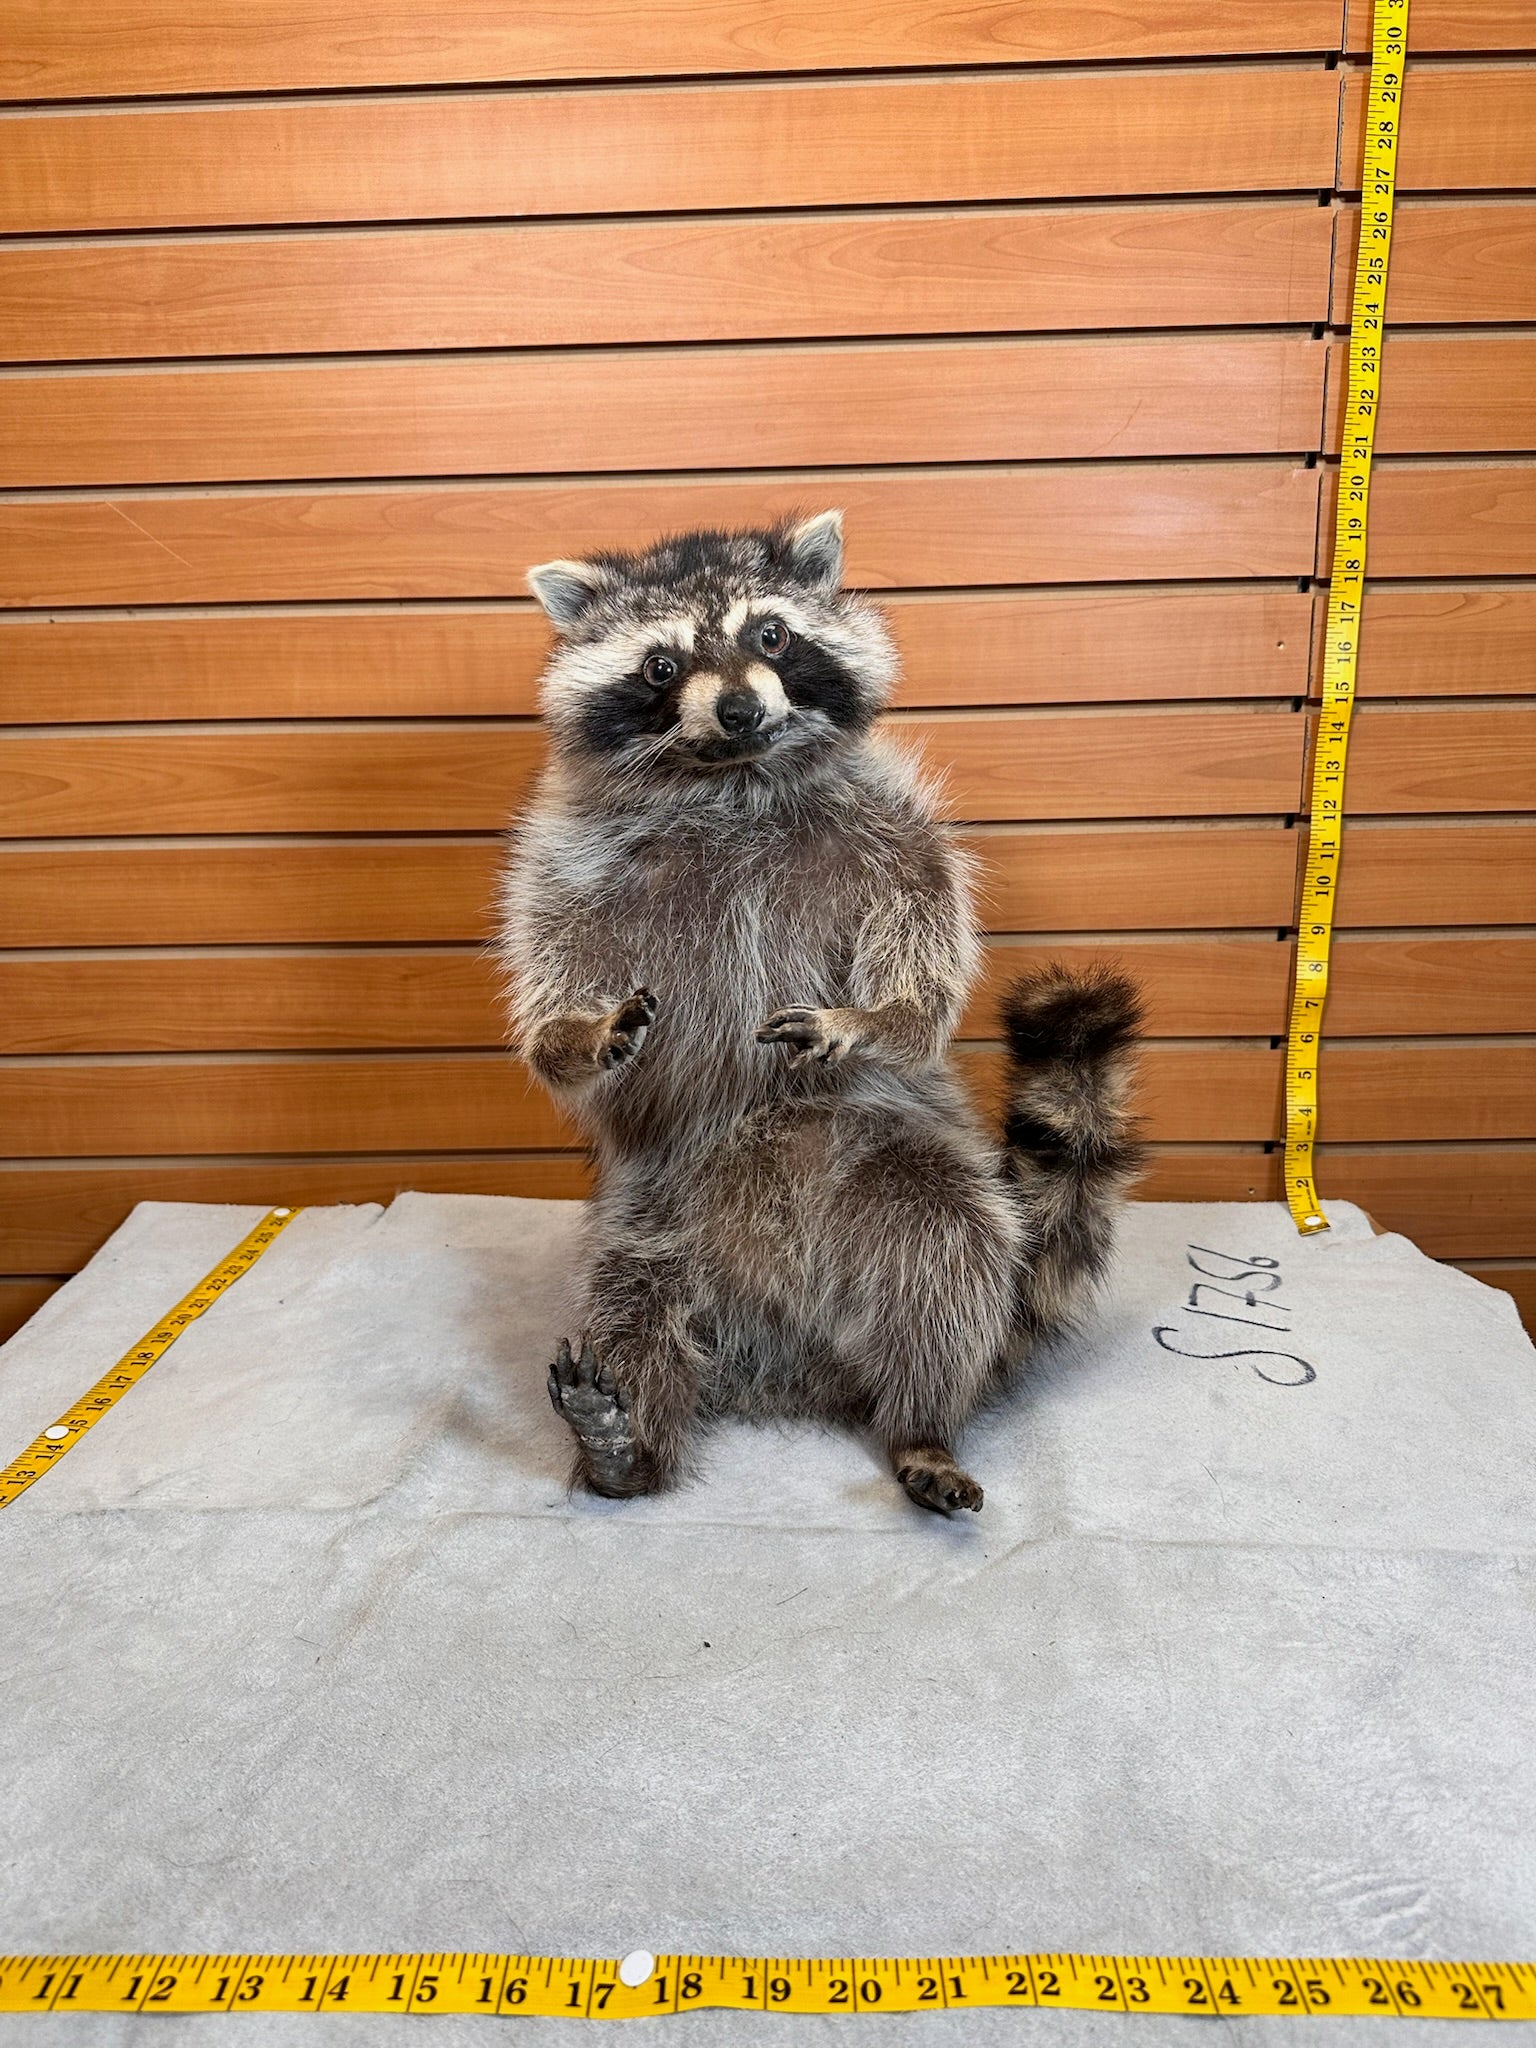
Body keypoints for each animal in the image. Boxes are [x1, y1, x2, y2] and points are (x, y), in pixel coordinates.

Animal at [498, 511, 1142, 1515]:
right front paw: (575, 1037)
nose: (736, 708)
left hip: (889, 1169)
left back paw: (922, 1420)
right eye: (659, 665)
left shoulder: (894, 825)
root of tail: (789, 1361)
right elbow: (553, 968)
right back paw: (625, 1444)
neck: (731, 778)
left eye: (770, 635)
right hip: (651, 1213)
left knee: (949, 1253)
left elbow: (928, 950)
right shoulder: (569, 856)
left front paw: (878, 1018)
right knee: (629, 1302)